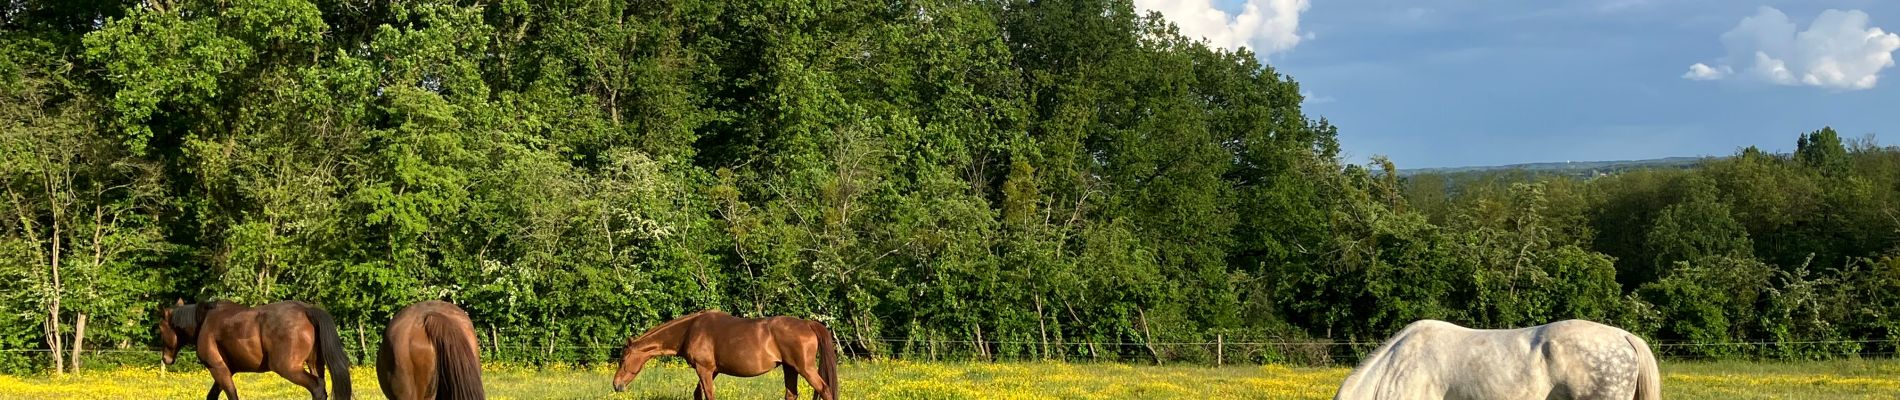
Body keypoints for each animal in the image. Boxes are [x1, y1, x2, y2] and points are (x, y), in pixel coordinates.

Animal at [160, 297, 357, 398]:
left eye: (160, 328)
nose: (165, 359)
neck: (204, 321)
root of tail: (306, 310)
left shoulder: (217, 368)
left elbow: (231, 394)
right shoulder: (225, 370)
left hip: (289, 369)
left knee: (317, 388)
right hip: (315, 365)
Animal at [615, 312, 839, 400]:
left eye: (623, 359)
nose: (616, 385)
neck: (690, 330)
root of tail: (808, 324)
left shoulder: (704, 370)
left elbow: (708, 395)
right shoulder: (711, 371)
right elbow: (698, 394)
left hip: (805, 368)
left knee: (825, 390)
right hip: (790, 368)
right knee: (791, 394)